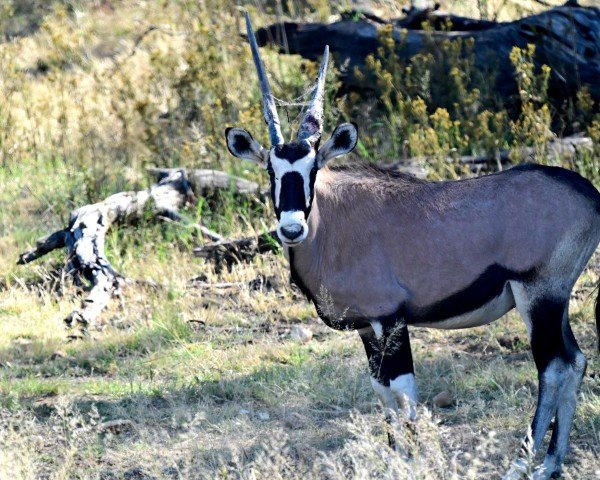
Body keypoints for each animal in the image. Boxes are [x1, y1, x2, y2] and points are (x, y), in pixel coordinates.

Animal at [226, 13, 600, 478]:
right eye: (271, 171)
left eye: (313, 168)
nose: (292, 229)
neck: (333, 220)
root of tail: (587, 193)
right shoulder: (367, 328)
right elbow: (383, 392)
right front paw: (396, 458)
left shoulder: (391, 321)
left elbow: (404, 393)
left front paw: (416, 460)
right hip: (555, 299)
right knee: (576, 361)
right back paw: (552, 461)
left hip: (540, 295)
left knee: (554, 367)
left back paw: (525, 462)